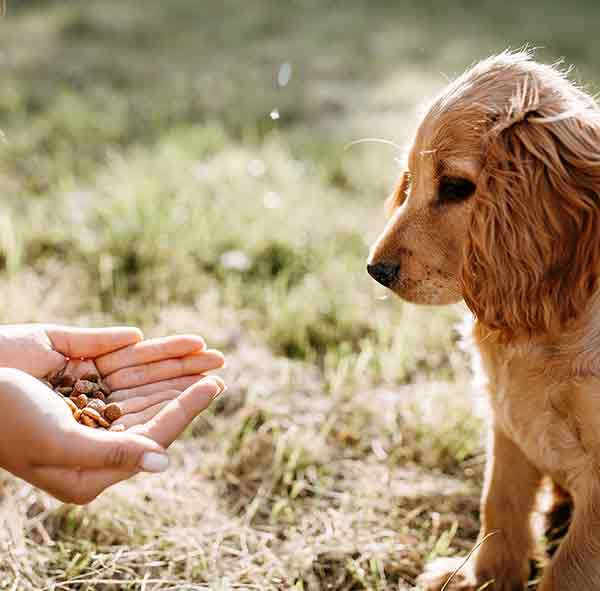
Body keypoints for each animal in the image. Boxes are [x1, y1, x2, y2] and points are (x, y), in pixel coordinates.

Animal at [368, 51, 600, 591]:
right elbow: (499, 505)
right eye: (410, 180)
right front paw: (481, 578)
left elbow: (570, 568)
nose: (375, 270)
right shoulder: (508, 422)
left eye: (456, 187)